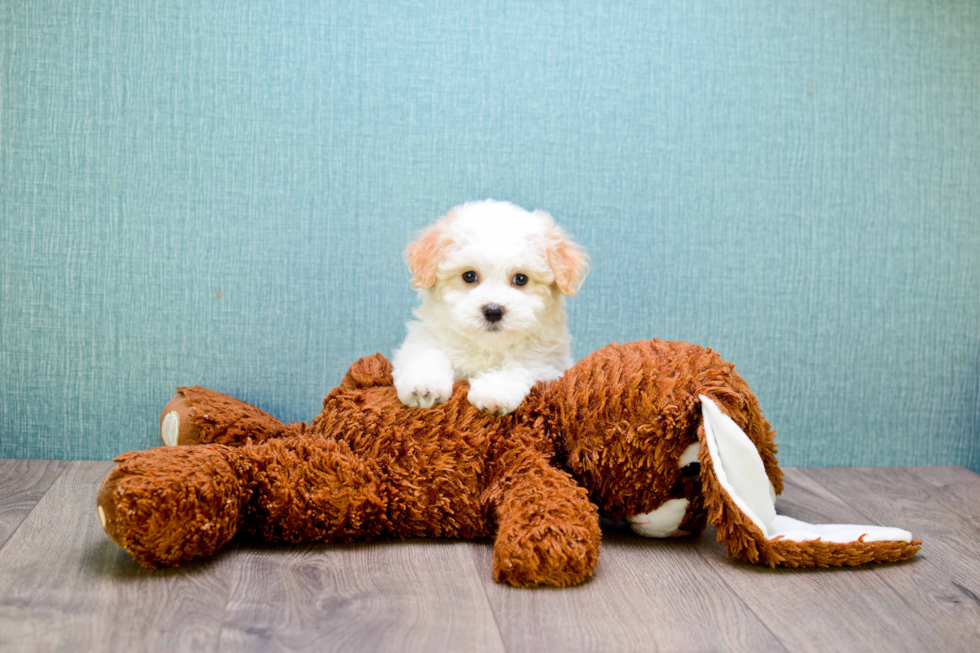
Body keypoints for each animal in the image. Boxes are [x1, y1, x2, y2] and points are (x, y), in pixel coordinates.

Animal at [392, 197, 588, 412]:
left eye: (521, 279)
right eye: (469, 276)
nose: (493, 311)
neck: (487, 346)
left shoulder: (548, 365)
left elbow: (518, 366)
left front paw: (495, 391)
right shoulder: (423, 338)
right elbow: (426, 353)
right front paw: (424, 385)